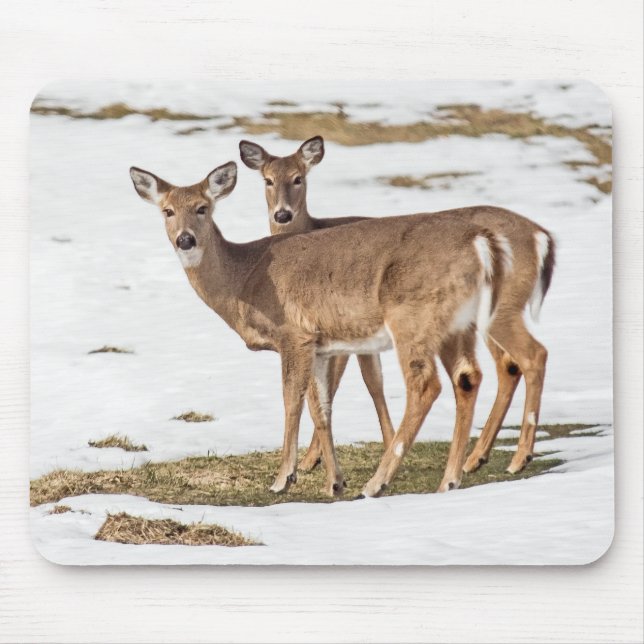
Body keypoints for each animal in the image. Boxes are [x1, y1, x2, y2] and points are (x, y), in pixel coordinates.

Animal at [129, 160, 509, 498]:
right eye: (167, 211)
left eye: (203, 208)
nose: (186, 240)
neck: (244, 278)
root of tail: (480, 243)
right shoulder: (320, 343)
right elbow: (321, 407)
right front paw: (334, 483)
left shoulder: (293, 334)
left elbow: (291, 401)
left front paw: (283, 478)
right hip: (458, 323)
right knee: (468, 377)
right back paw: (449, 480)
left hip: (412, 317)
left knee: (426, 384)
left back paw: (378, 483)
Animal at [239, 136, 556, 476]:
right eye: (268, 180)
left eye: (299, 178)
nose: (282, 214)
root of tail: (541, 236)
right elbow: (366, 381)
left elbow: (342, 383)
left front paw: (315, 459)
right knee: (506, 365)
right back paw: (478, 458)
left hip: (498, 308)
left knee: (524, 357)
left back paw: (514, 458)